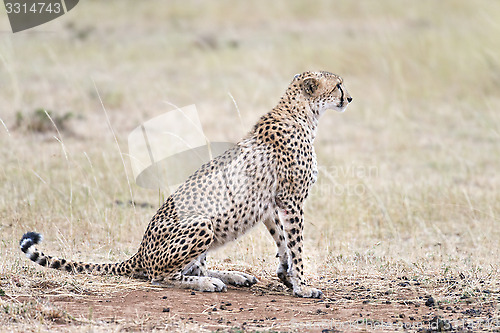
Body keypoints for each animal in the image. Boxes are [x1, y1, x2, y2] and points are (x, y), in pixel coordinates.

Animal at [19, 69, 352, 296]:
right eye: (338, 84)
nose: (349, 98)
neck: (302, 114)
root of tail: (139, 252)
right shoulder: (292, 200)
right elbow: (297, 245)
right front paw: (303, 285)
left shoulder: (272, 203)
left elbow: (283, 241)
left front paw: (286, 274)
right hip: (202, 223)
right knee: (162, 276)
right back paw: (209, 282)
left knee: (192, 265)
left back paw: (232, 275)